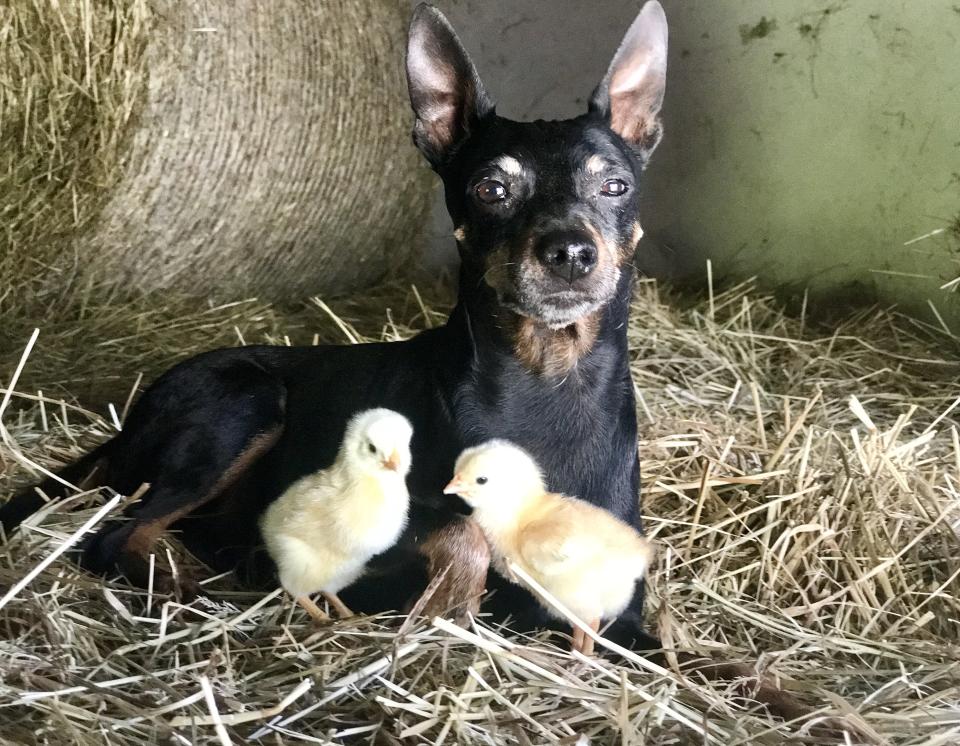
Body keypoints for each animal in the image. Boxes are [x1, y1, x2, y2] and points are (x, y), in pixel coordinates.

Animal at [1, 1, 668, 644]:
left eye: (616, 185)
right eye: (491, 189)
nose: (569, 252)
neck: (549, 376)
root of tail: (131, 421)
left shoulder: (624, 608)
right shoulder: (379, 544)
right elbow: (462, 535)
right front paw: (447, 608)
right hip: (243, 402)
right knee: (114, 537)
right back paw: (189, 592)